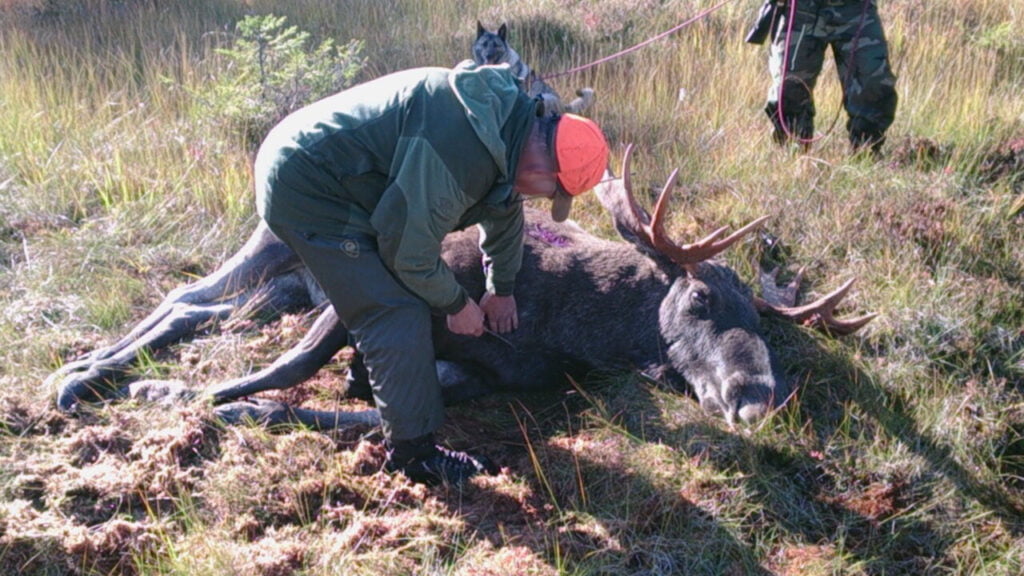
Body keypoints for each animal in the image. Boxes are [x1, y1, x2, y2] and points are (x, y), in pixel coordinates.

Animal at [48, 146, 876, 426]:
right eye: (700, 300)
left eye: (765, 330)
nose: (757, 397)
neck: (565, 324)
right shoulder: (383, 293)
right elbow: (292, 367)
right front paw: (169, 393)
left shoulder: (491, 377)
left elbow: (380, 409)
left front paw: (242, 409)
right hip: (271, 245)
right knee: (182, 298)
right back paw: (84, 371)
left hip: (284, 289)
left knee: (200, 309)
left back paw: (92, 369)